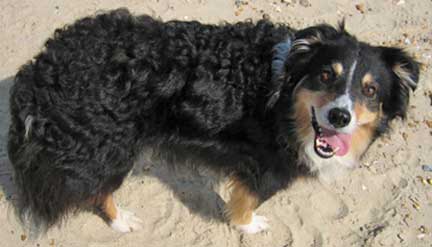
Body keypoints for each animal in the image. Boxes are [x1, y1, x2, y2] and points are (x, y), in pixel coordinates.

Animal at [6, 8, 418, 234]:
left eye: (370, 90)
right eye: (326, 75)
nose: (339, 116)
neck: (283, 96)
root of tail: (39, 70)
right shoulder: (267, 168)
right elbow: (249, 201)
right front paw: (248, 226)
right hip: (111, 148)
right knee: (98, 190)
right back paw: (122, 221)